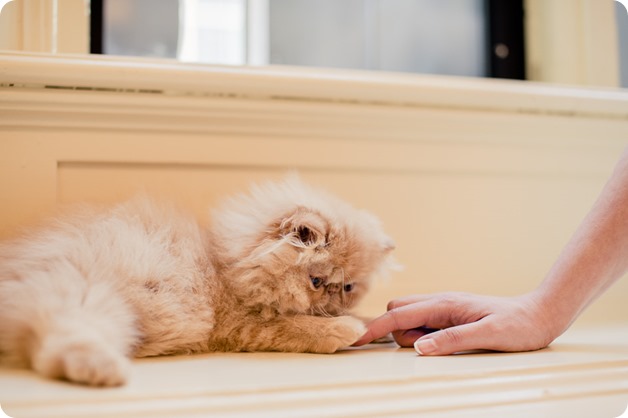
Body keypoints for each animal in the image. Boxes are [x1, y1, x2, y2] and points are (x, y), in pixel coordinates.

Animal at [0, 176, 392, 386]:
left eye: (348, 287)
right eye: (316, 281)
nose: (333, 299)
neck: (228, 264)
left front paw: (374, 323)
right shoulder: (243, 325)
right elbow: (299, 328)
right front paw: (347, 328)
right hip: (86, 293)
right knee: (57, 344)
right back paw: (105, 371)